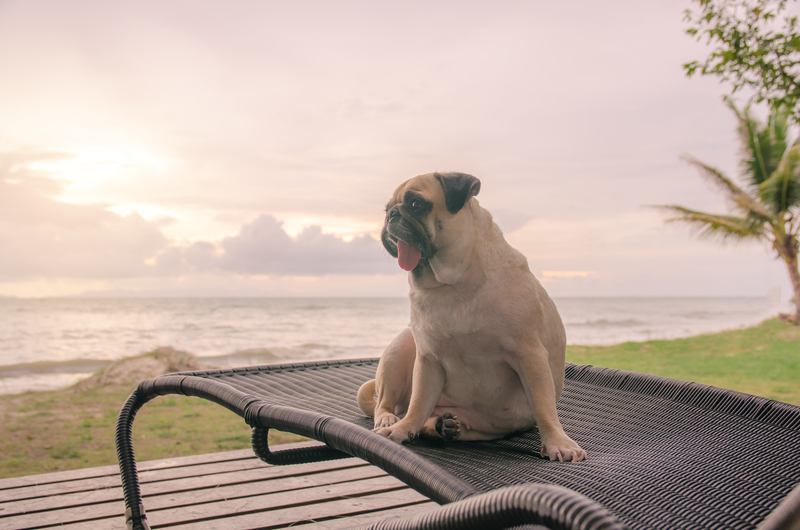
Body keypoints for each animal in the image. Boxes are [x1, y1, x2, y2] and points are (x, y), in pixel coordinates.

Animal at [358, 171, 588, 460]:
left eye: (415, 204)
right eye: (387, 209)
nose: (391, 215)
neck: (452, 283)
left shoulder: (530, 355)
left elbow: (545, 407)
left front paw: (558, 442)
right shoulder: (428, 360)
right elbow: (418, 404)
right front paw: (402, 430)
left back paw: (443, 425)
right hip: (400, 348)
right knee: (390, 404)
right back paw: (395, 421)